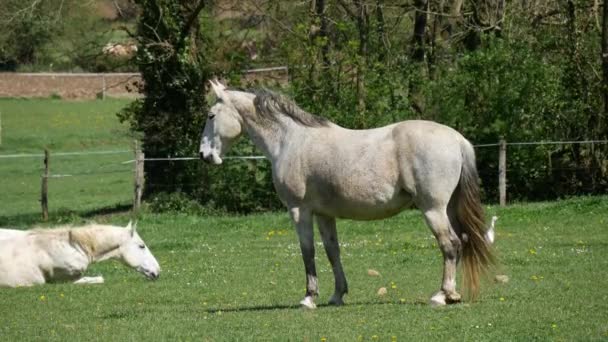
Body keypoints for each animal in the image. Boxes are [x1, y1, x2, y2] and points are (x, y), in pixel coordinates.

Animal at [200, 81, 494, 308]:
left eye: (211, 115)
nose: (205, 155)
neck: (289, 141)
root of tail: (457, 139)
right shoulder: (324, 215)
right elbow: (333, 252)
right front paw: (337, 295)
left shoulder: (299, 210)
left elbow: (307, 252)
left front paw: (309, 298)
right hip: (449, 208)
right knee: (462, 241)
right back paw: (452, 294)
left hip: (433, 209)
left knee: (450, 244)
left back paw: (442, 295)